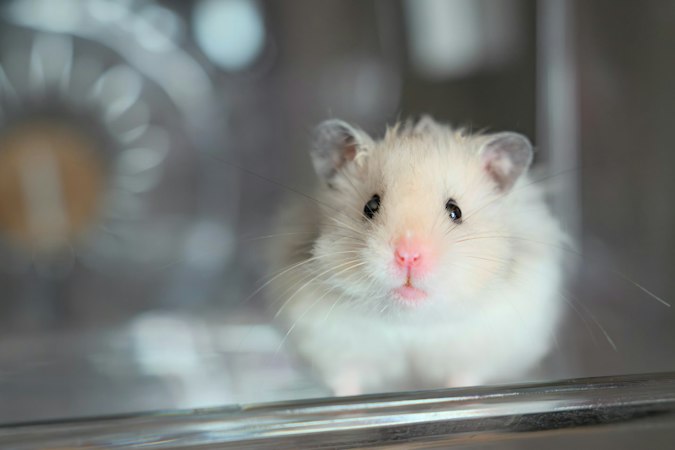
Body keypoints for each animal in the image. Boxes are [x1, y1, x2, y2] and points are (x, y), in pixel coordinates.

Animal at [267, 116, 566, 396]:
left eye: (455, 211)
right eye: (370, 206)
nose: (408, 256)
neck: (410, 319)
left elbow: (464, 377)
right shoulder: (328, 344)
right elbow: (345, 380)